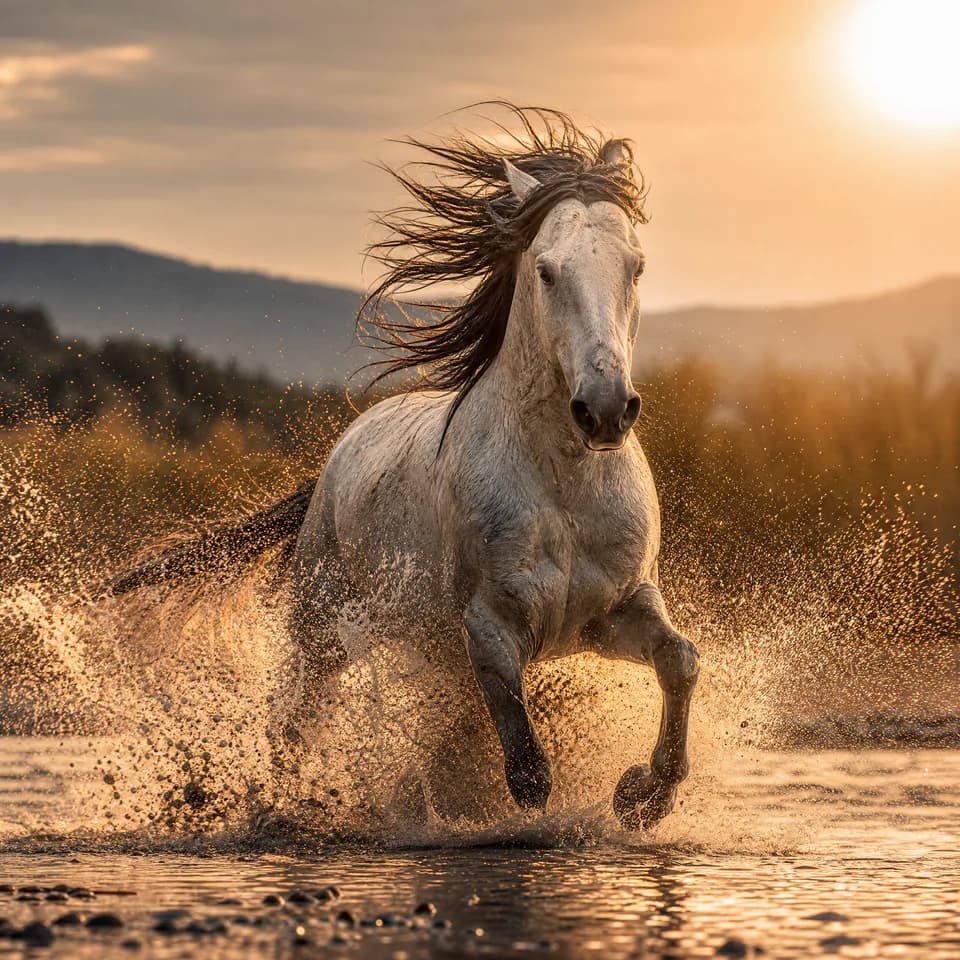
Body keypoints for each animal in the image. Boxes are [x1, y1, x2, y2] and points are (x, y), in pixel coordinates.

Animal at [108, 105, 700, 829]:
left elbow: (681, 661)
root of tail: (337, 458)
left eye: (635, 267)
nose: (607, 409)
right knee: (293, 724)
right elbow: (528, 773)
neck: (561, 486)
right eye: (547, 271)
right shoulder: (489, 629)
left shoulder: (616, 608)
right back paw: (280, 809)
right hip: (322, 635)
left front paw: (642, 793)